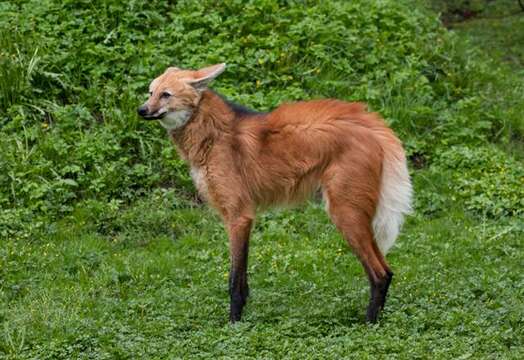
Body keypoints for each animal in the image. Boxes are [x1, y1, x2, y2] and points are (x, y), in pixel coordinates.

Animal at [138, 62, 414, 324]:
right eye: (150, 92)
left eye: (166, 95)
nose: (141, 110)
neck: (209, 134)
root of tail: (372, 124)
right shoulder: (243, 216)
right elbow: (243, 278)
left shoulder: (239, 216)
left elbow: (234, 279)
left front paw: (233, 324)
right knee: (388, 269)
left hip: (345, 213)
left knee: (379, 273)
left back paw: (369, 324)